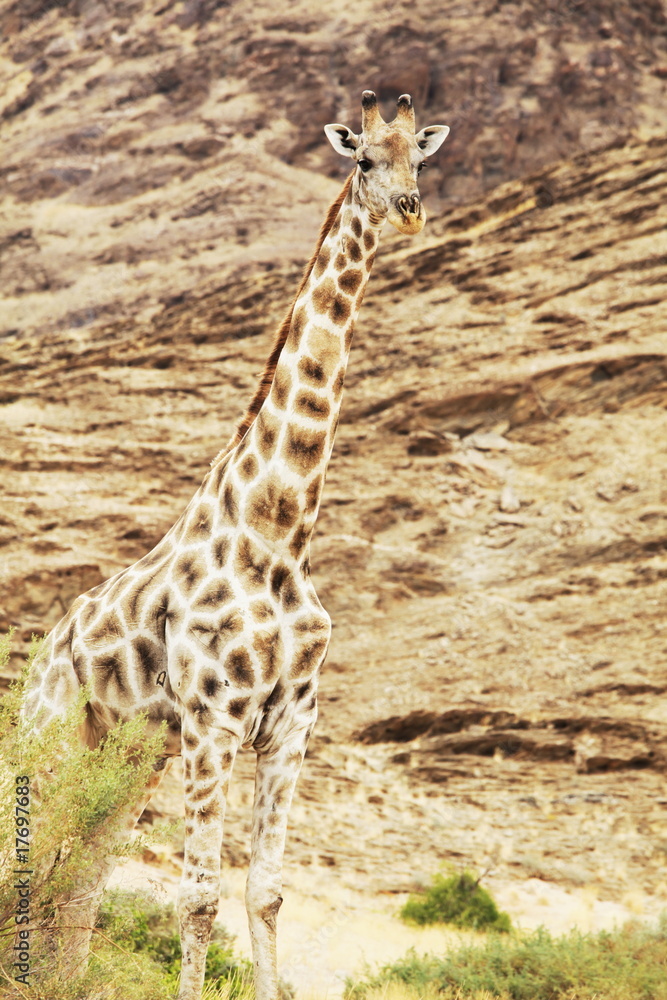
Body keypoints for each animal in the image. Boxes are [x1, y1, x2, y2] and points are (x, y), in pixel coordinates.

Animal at [20, 91, 449, 1000]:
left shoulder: (291, 721)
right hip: (58, 736)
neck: (279, 531)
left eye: (421, 161)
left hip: (131, 751)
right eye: (363, 159)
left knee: (83, 877)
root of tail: (41, 657)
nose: (408, 211)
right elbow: (197, 897)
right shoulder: (214, 716)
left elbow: (266, 893)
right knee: (46, 860)